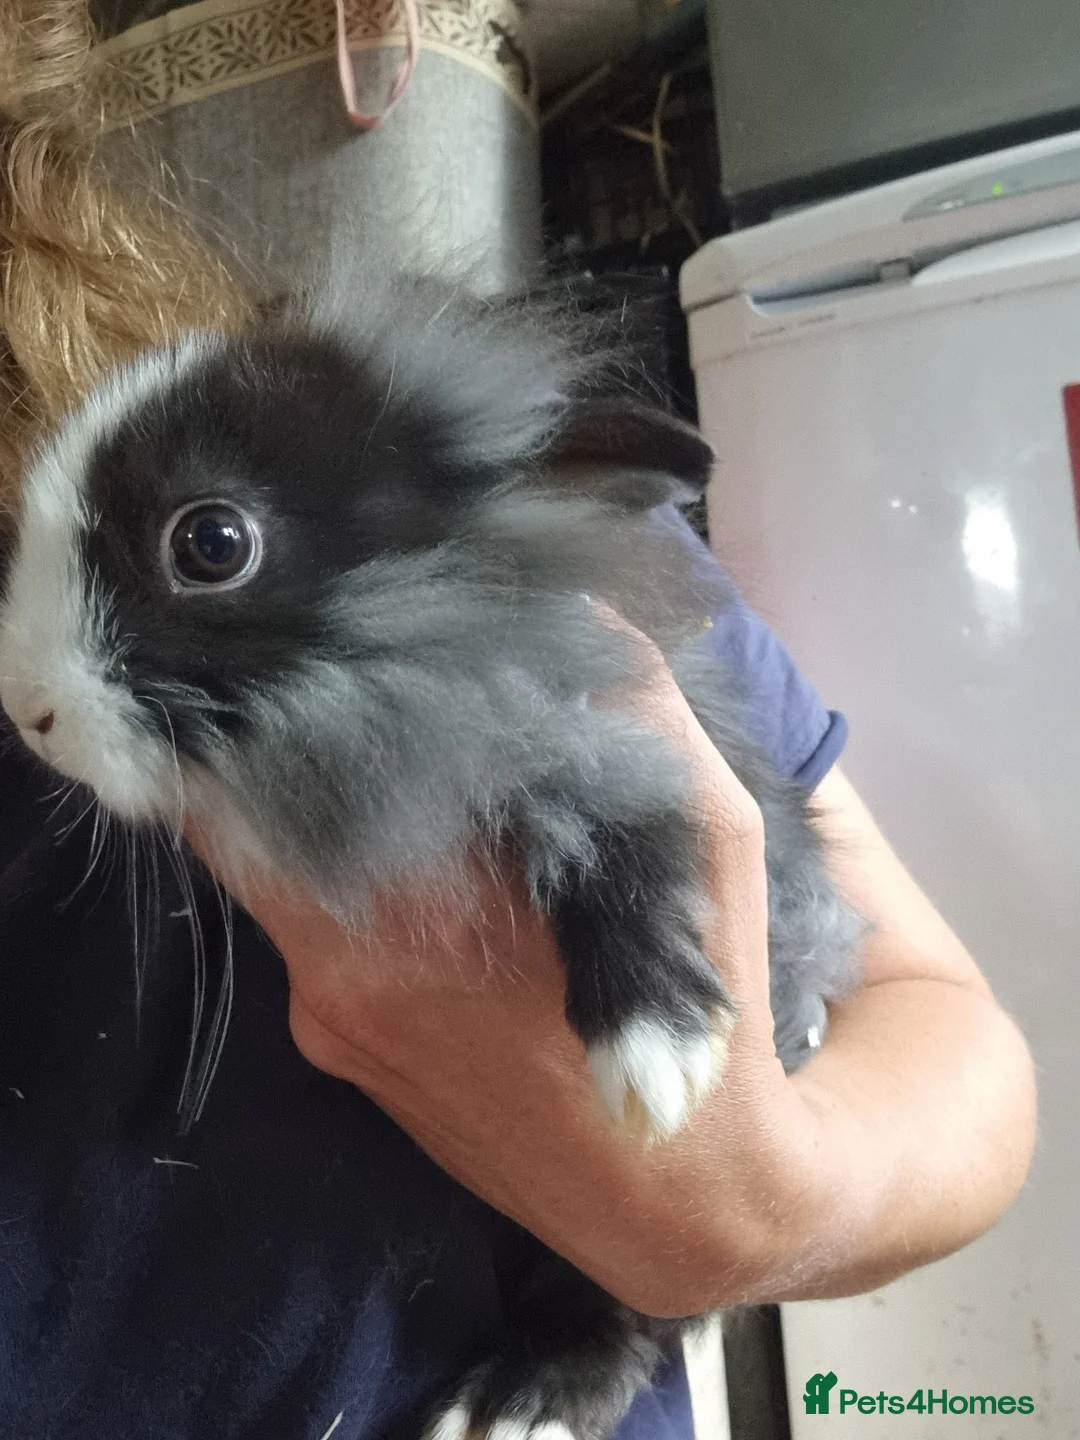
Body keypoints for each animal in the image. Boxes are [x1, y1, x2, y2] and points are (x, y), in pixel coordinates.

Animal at [0, 266, 862, 1440]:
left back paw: (524, 1403)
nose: (26, 709)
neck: (444, 655)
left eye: (212, 543)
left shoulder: (611, 753)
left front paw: (659, 1065)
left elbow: (637, 840)